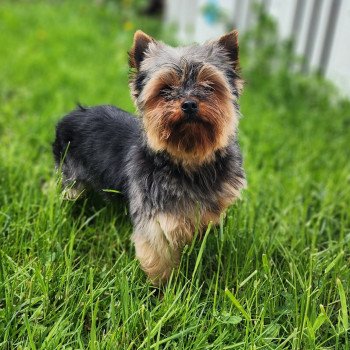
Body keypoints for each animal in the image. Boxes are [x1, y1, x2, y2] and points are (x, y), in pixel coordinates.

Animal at [52, 29, 246, 284]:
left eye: (209, 86)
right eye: (164, 89)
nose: (189, 104)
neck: (188, 160)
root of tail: (72, 114)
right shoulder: (157, 222)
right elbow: (158, 257)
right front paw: (164, 289)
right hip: (70, 174)